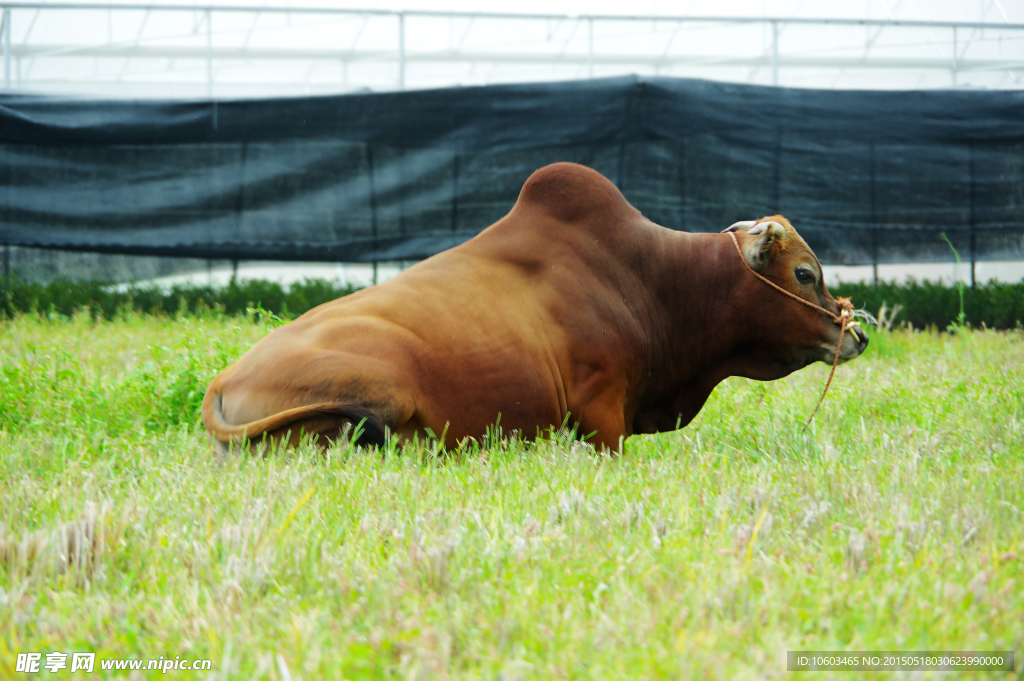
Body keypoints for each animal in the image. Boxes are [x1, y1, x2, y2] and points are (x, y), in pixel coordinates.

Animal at [203, 160, 868, 450]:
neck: (653, 280)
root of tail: (221, 381)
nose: (856, 334)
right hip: (380, 396)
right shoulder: (601, 414)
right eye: (805, 273)